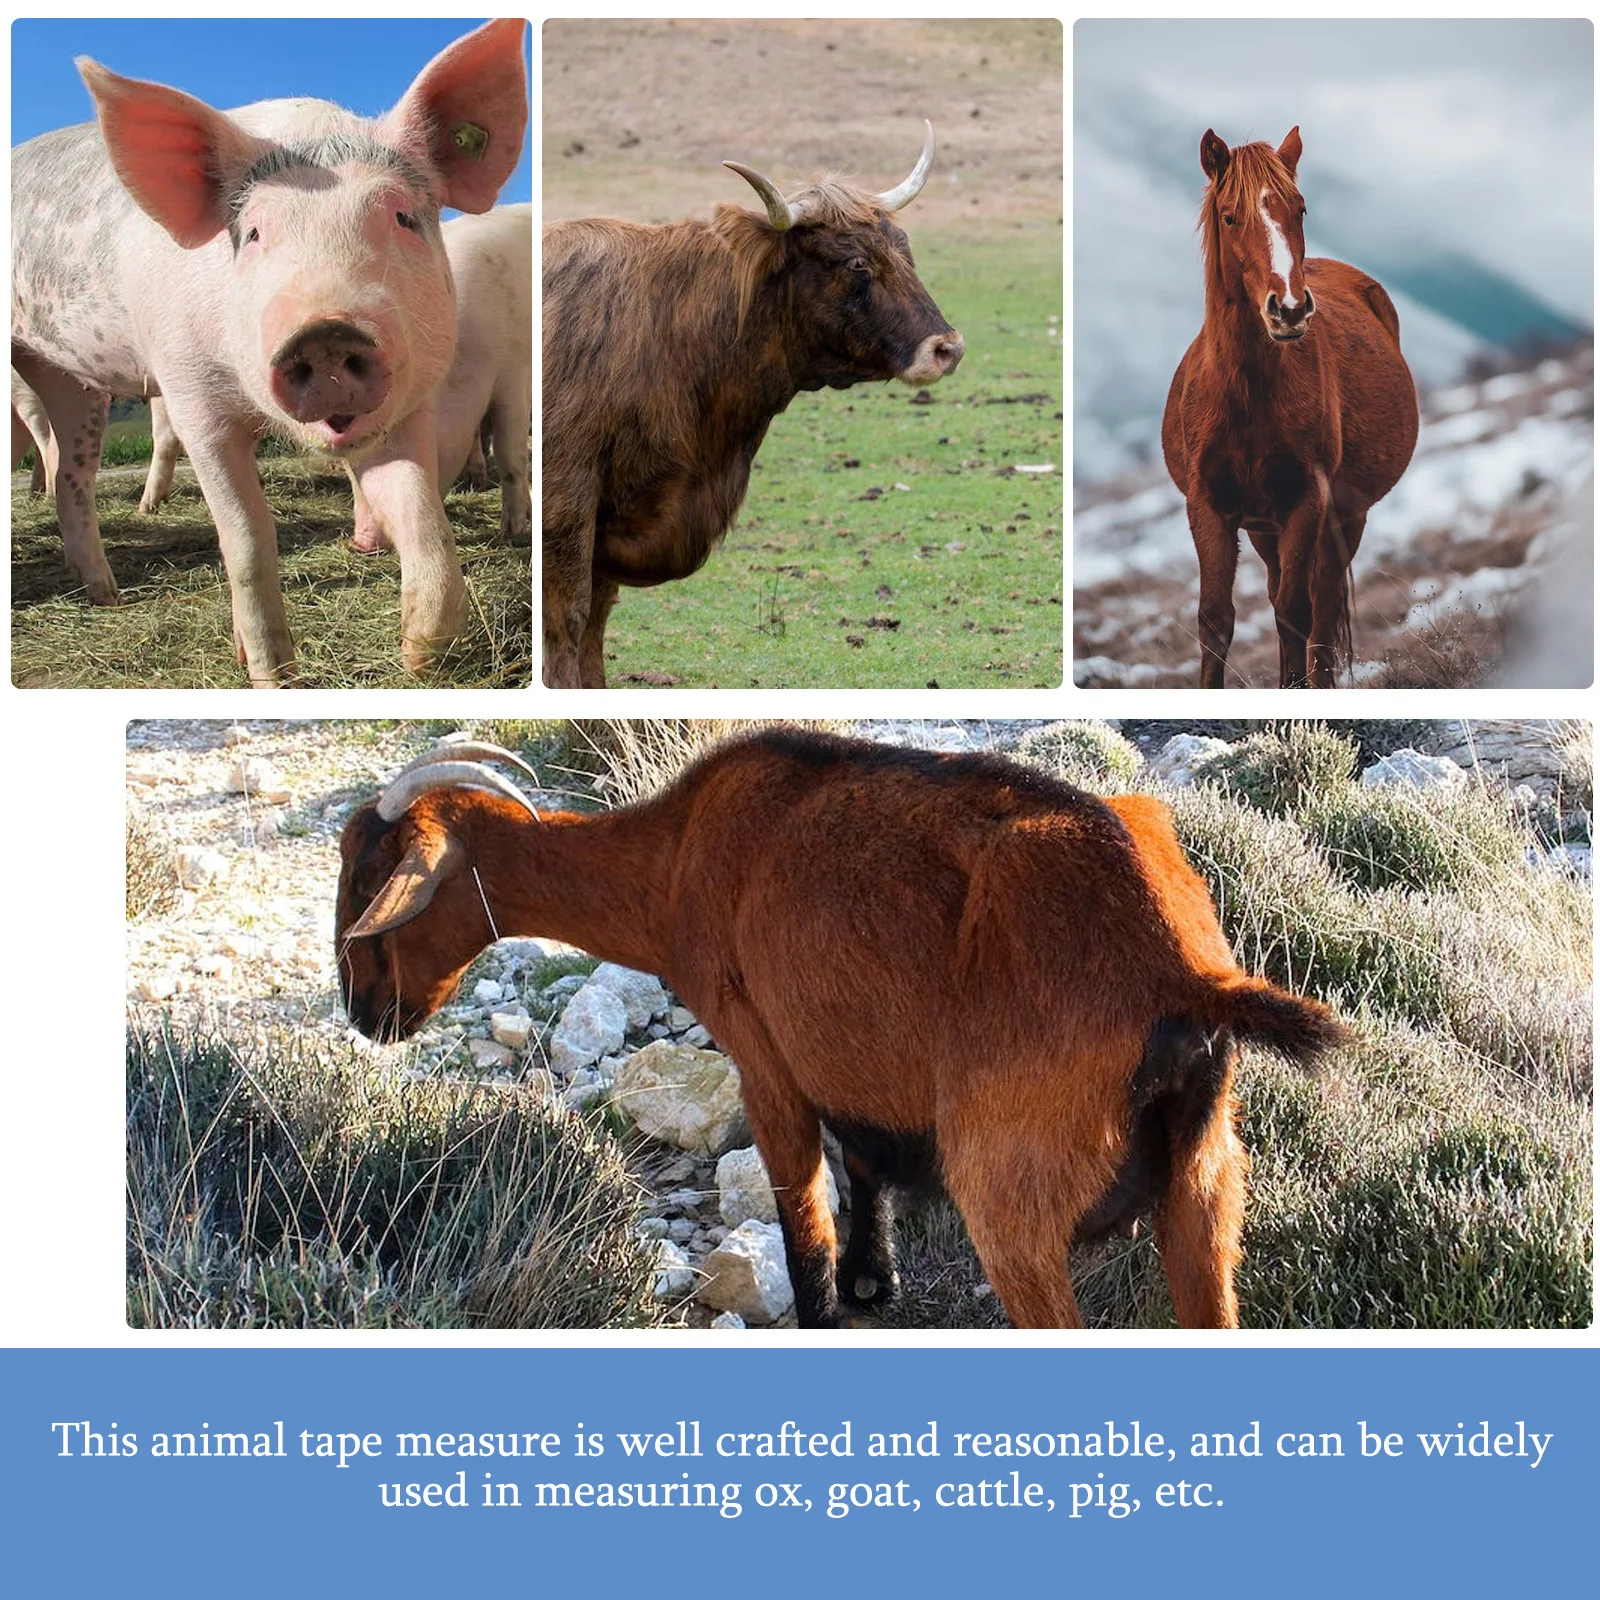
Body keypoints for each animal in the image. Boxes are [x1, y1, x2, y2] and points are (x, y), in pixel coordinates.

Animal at [335, 730, 1344, 1328]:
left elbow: (800, 1213)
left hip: (1012, 1193)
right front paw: (874, 1282)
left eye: (368, 877)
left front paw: (829, 1303)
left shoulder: (765, 1060)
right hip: (1205, 1189)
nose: (364, 1013)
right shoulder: (853, 1070)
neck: (674, 859)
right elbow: (863, 1167)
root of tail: (1178, 972)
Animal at [542, 122, 965, 688]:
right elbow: (569, 618)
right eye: (856, 262)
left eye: (904, 249)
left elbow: (596, 621)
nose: (947, 348)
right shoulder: (566, 502)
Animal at [1161, 127, 1418, 687]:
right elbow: (1215, 620)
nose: (1291, 309)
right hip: (1264, 528)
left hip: (1345, 517)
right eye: (1229, 216)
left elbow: (1298, 615)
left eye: (1299, 209)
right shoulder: (1208, 505)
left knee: (1319, 611)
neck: (1247, 396)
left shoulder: (1308, 501)